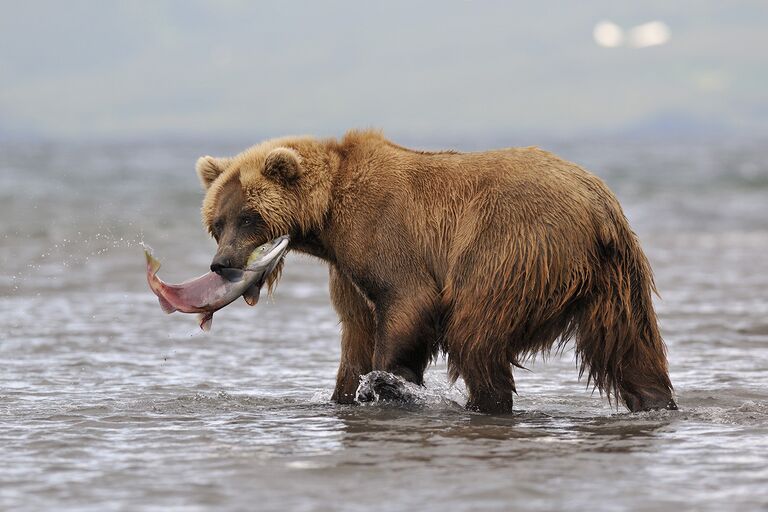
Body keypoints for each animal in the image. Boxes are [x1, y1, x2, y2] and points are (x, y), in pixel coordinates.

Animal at [195, 130, 676, 414]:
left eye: (249, 217)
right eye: (217, 222)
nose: (222, 263)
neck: (327, 220)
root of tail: (598, 205)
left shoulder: (382, 232)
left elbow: (408, 300)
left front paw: (388, 382)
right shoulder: (346, 273)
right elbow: (357, 333)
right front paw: (346, 394)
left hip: (512, 246)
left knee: (475, 333)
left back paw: (486, 403)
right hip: (616, 279)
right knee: (629, 345)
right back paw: (655, 400)